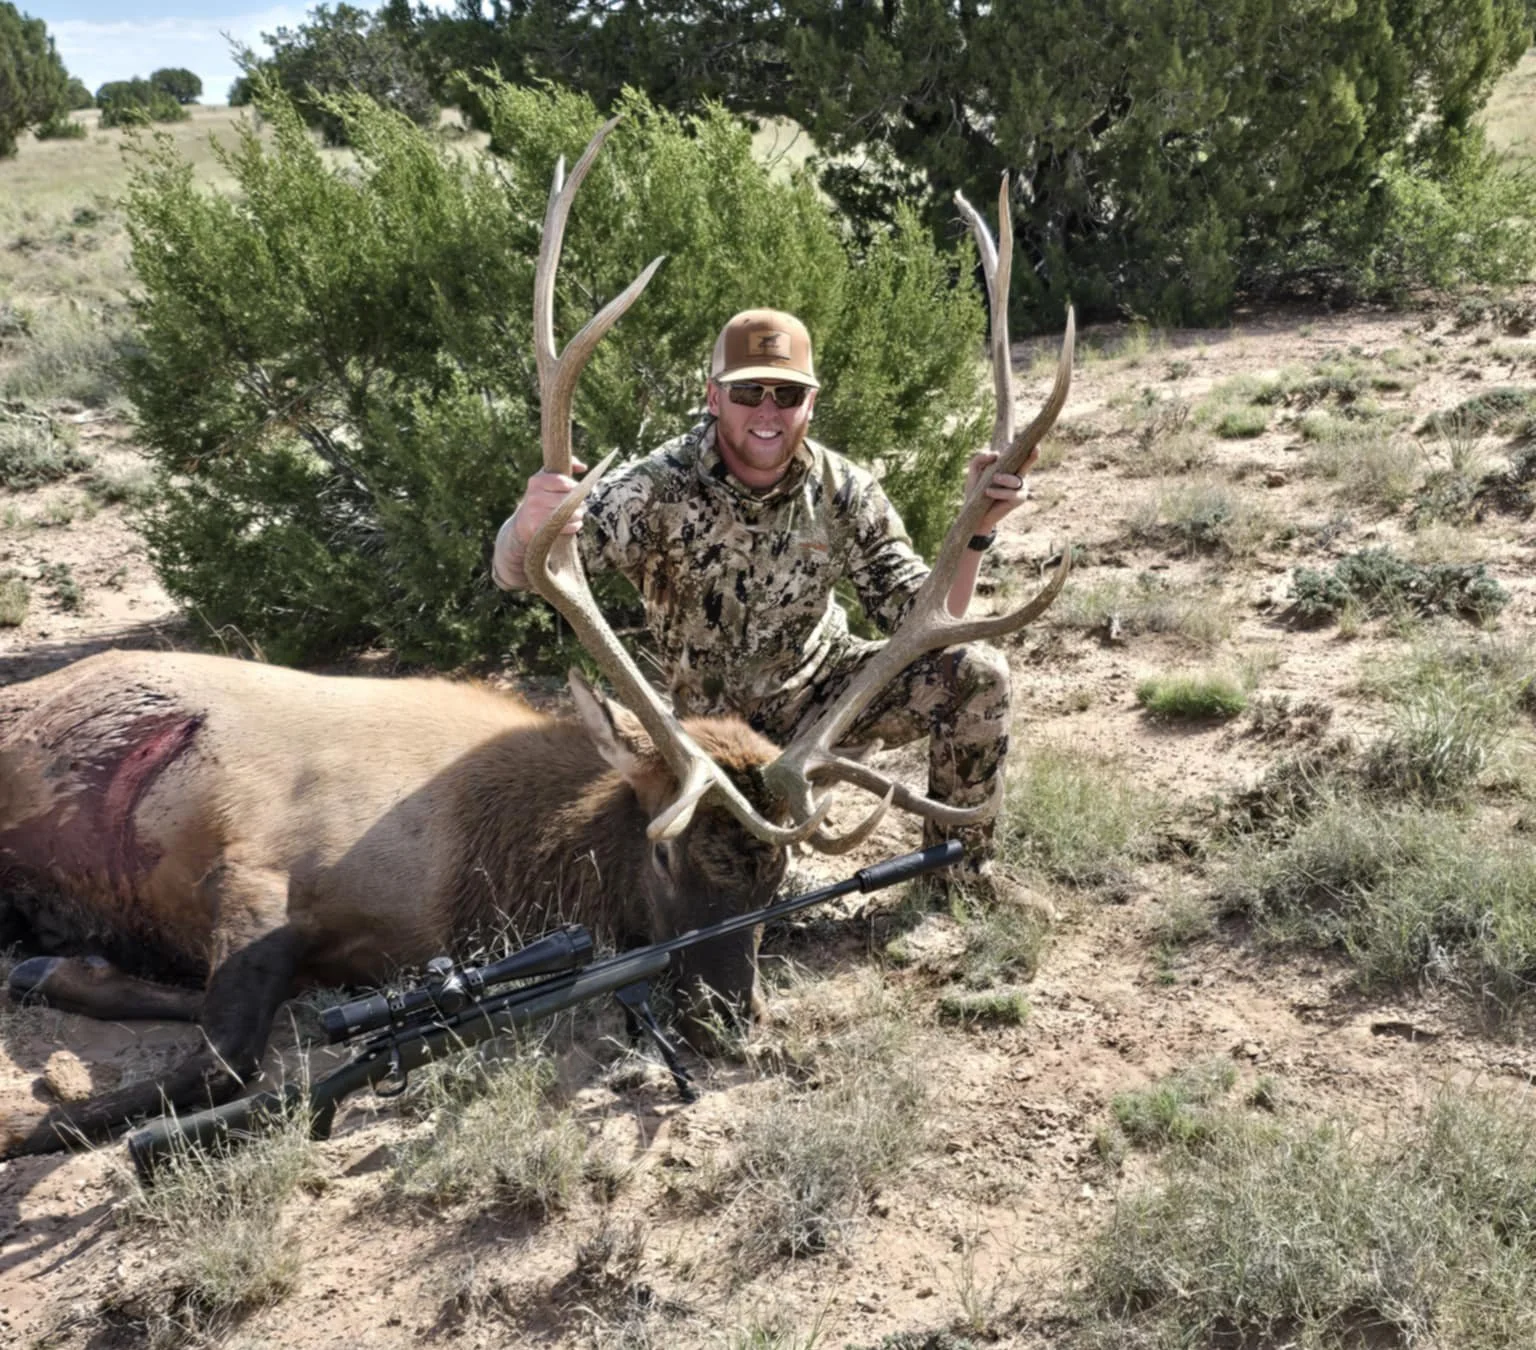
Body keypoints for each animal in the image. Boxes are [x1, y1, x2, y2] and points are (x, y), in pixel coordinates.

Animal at [0, 120, 1072, 1156]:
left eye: (778, 877)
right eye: (667, 859)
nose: (729, 1016)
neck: (476, 864)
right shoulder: (254, 864)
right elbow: (223, 1060)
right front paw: (40, 1125)